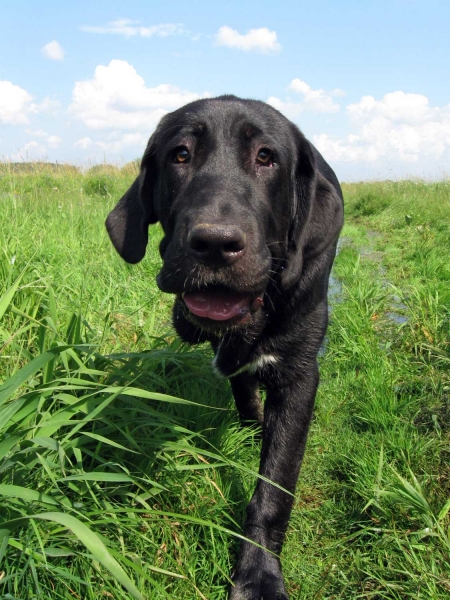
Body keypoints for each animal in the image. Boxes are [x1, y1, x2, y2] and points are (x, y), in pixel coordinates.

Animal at [106, 96, 344, 596]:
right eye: (180, 154)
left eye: (266, 157)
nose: (215, 243)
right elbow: (240, 383)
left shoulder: (300, 376)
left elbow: (273, 490)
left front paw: (259, 574)